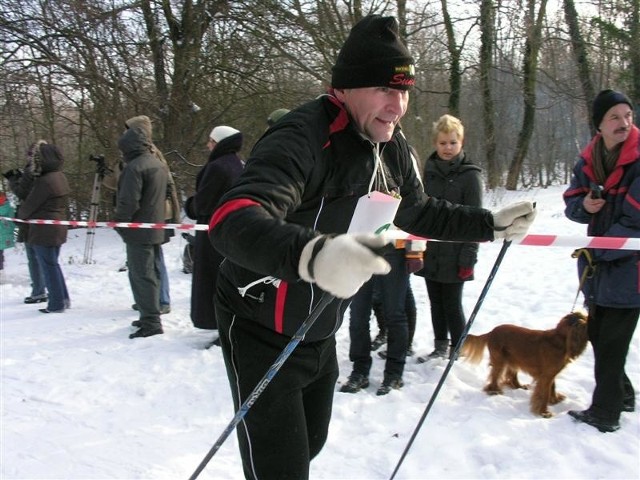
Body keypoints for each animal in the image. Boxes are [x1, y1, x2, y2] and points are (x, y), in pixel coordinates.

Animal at [460, 314, 592, 418]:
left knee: (510, 376)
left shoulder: (551, 374)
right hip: (500, 360)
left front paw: (555, 399)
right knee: (494, 377)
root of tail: (491, 332)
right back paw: (494, 390)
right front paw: (544, 412)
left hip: (512, 359)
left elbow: (552, 387)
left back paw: (519, 386)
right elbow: (544, 394)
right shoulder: (546, 376)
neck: (560, 339)